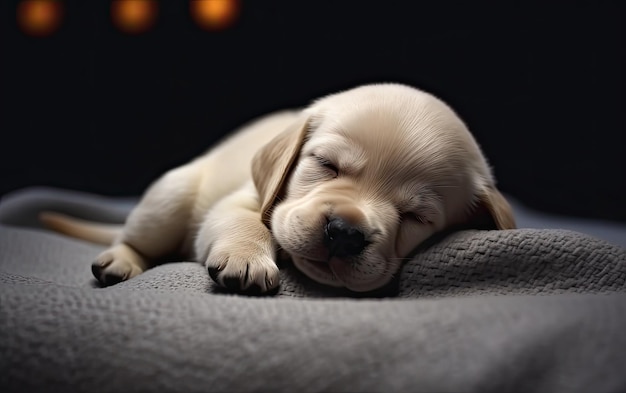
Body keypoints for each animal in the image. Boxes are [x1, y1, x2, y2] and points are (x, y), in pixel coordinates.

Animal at [41, 83, 516, 290]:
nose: (344, 233)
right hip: (170, 198)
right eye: (326, 165)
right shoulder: (242, 199)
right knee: (134, 237)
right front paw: (247, 258)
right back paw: (121, 259)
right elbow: (248, 222)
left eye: (417, 216)